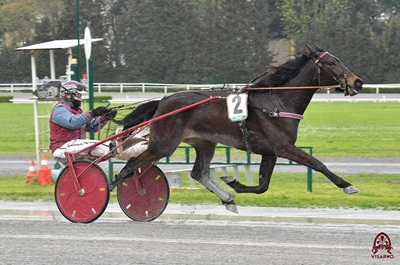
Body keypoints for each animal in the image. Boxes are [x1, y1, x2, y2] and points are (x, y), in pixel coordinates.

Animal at [111, 44, 362, 211]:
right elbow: (318, 164)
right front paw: (347, 185)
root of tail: (163, 100)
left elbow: (262, 186)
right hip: (163, 144)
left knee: (198, 172)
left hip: (205, 143)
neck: (277, 102)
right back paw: (118, 191)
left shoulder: (270, 152)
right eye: (331, 63)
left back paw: (227, 198)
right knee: (131, 165)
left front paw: (233, 183)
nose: (357, 82)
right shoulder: (284, 148)